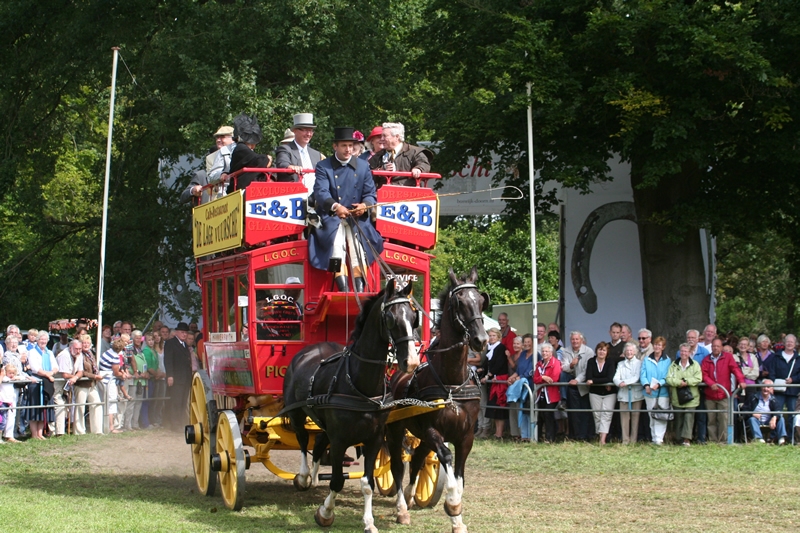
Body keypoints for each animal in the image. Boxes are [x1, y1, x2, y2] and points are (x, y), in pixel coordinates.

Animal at [282, 278, 418, 532]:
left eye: (414, 318)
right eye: (391, 318)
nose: (412, 362)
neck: (358, 383)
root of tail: (309, 350)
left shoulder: (374, 438)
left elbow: (367, 483)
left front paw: (369, 522)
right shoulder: (339, 439)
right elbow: (336, 481)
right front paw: (325, 513)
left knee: (318, 444)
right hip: (295, 412)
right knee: (303, 439)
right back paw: (305, 476)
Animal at [386, 268, 490, 532]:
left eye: (481, 300)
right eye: (460, 302)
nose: (481, 340)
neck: (451, 381)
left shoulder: (466, 437)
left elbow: (460, 478)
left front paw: (458, 520)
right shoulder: (434, 432)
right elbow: (447, 461)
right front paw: (452, 506)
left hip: (420, 436)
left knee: (417, 460)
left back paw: (411, 496)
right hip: (396, 430)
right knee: (397, 465)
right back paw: (401, 508)